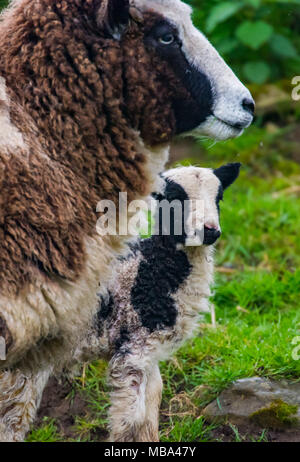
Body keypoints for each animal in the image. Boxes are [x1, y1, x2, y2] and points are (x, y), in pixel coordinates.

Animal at [0, 0, 253, 440]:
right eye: (165, 36)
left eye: (219, 196)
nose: (247, 105)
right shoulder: (132, 347)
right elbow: (132, 421)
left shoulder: (148, 353)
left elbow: (150, 409)